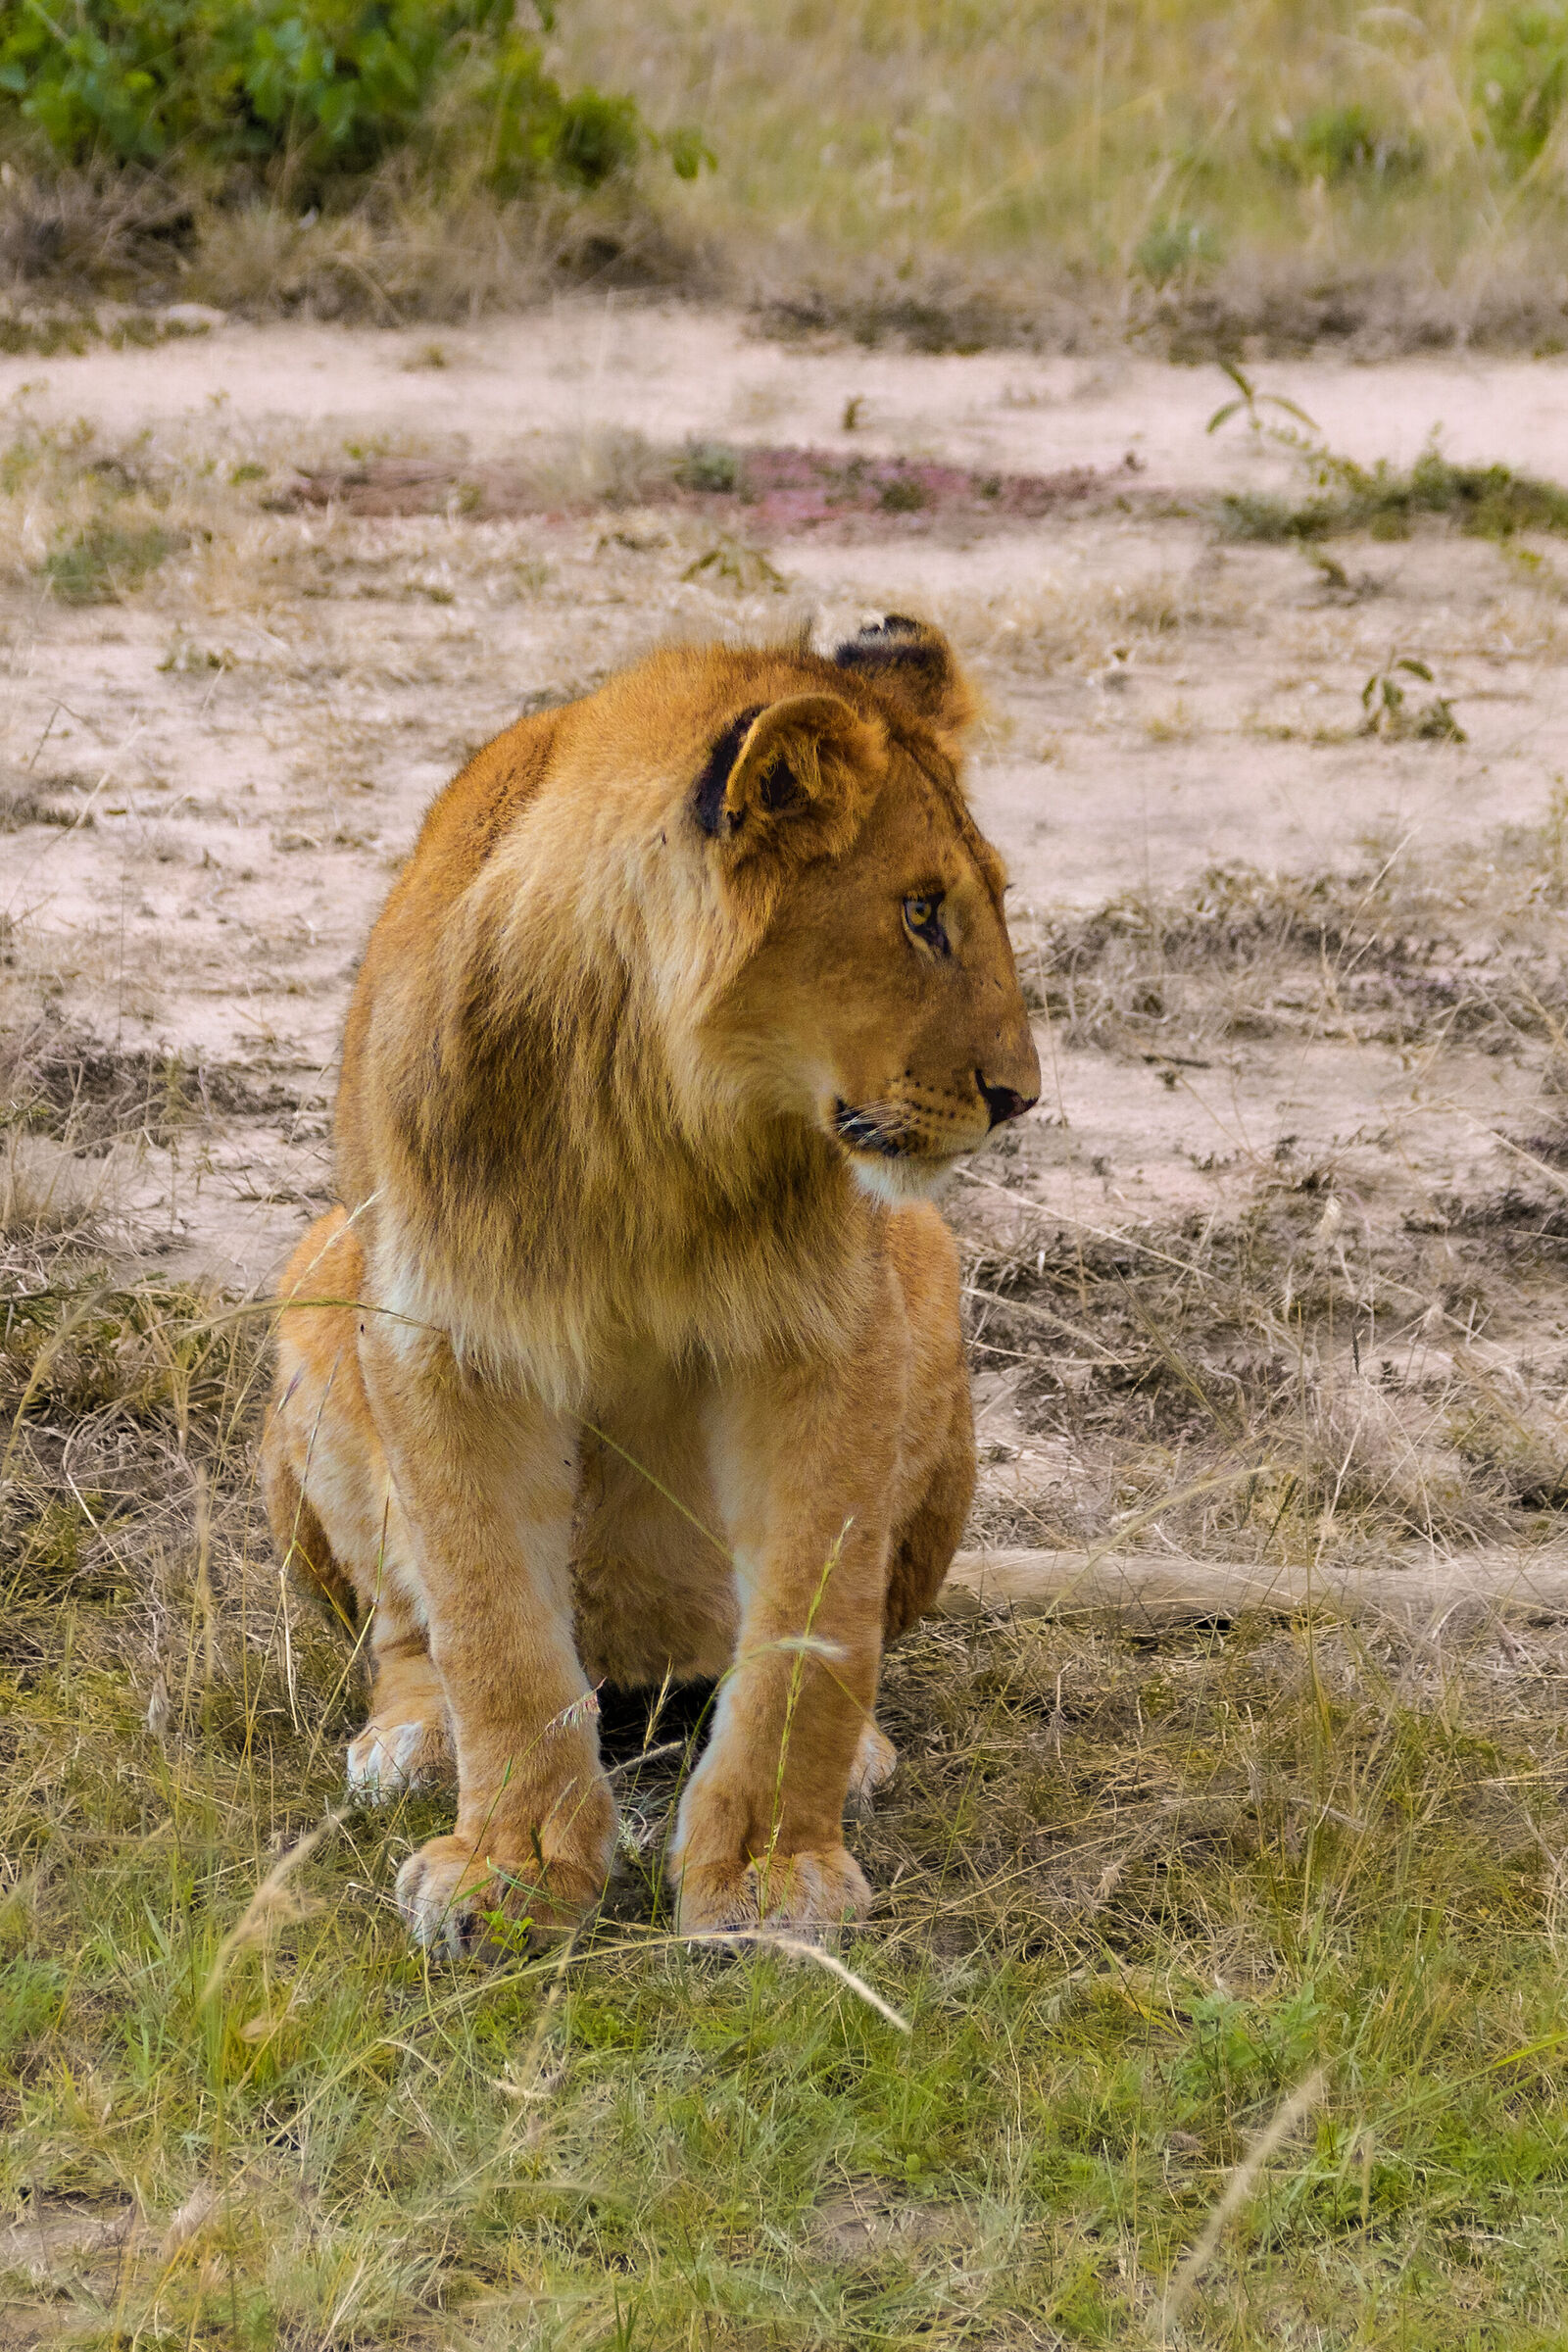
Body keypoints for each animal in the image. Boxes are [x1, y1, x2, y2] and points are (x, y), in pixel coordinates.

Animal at [261, 615, 1040, 1949]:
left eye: (981, 904)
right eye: (920, 912)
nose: (1019, 1096)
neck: (657, 1118)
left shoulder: (832, 1332)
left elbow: (813, 1628)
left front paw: (773, 1870)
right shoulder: (443, 1330)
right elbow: (492, 1628)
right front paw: (514, 1872)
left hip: (926, 1272)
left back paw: (860, 1754)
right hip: (322, 1273)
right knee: (412, 1633)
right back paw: (415, 1743)